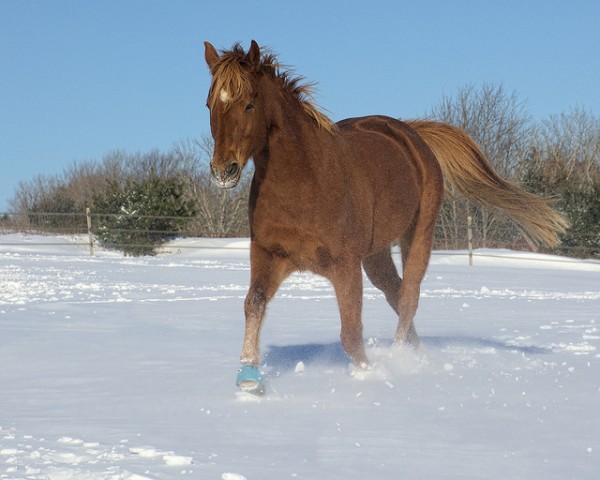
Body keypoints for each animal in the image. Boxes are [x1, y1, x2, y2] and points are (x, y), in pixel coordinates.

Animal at [204, 40, 568, 394]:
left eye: (249, 103)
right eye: (209, 105)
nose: (223, 170)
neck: (305, 181)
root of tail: (411, 132)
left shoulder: (344, 266)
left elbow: (351, 334)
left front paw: (371, 376)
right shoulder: (267, 255)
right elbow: (254, 304)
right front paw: (249, 377)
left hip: (418, 236)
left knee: (408, 298)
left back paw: (400, 357)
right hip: (376, 255)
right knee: (395, 292)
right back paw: (416, 353)